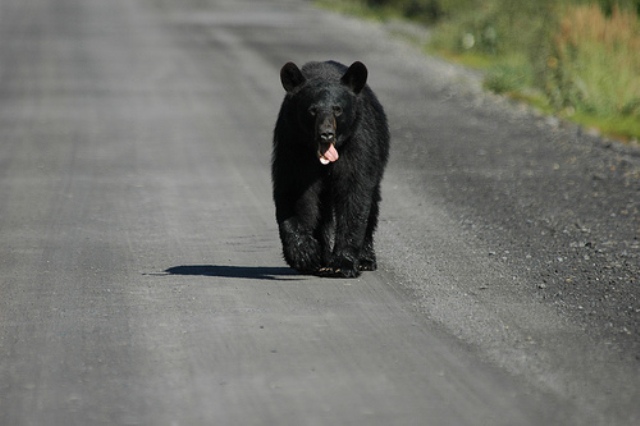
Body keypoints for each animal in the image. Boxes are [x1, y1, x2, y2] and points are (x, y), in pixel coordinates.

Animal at [272, 61, 390, 278]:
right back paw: (323, 258)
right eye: (312, 110)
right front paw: (304, 253)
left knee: (372, 204)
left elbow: (354, 193)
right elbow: (293, 189)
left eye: (337, 109)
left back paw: (365, 259)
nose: (325, 134)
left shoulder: (358, 143)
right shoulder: (292, 143)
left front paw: (343, 263)